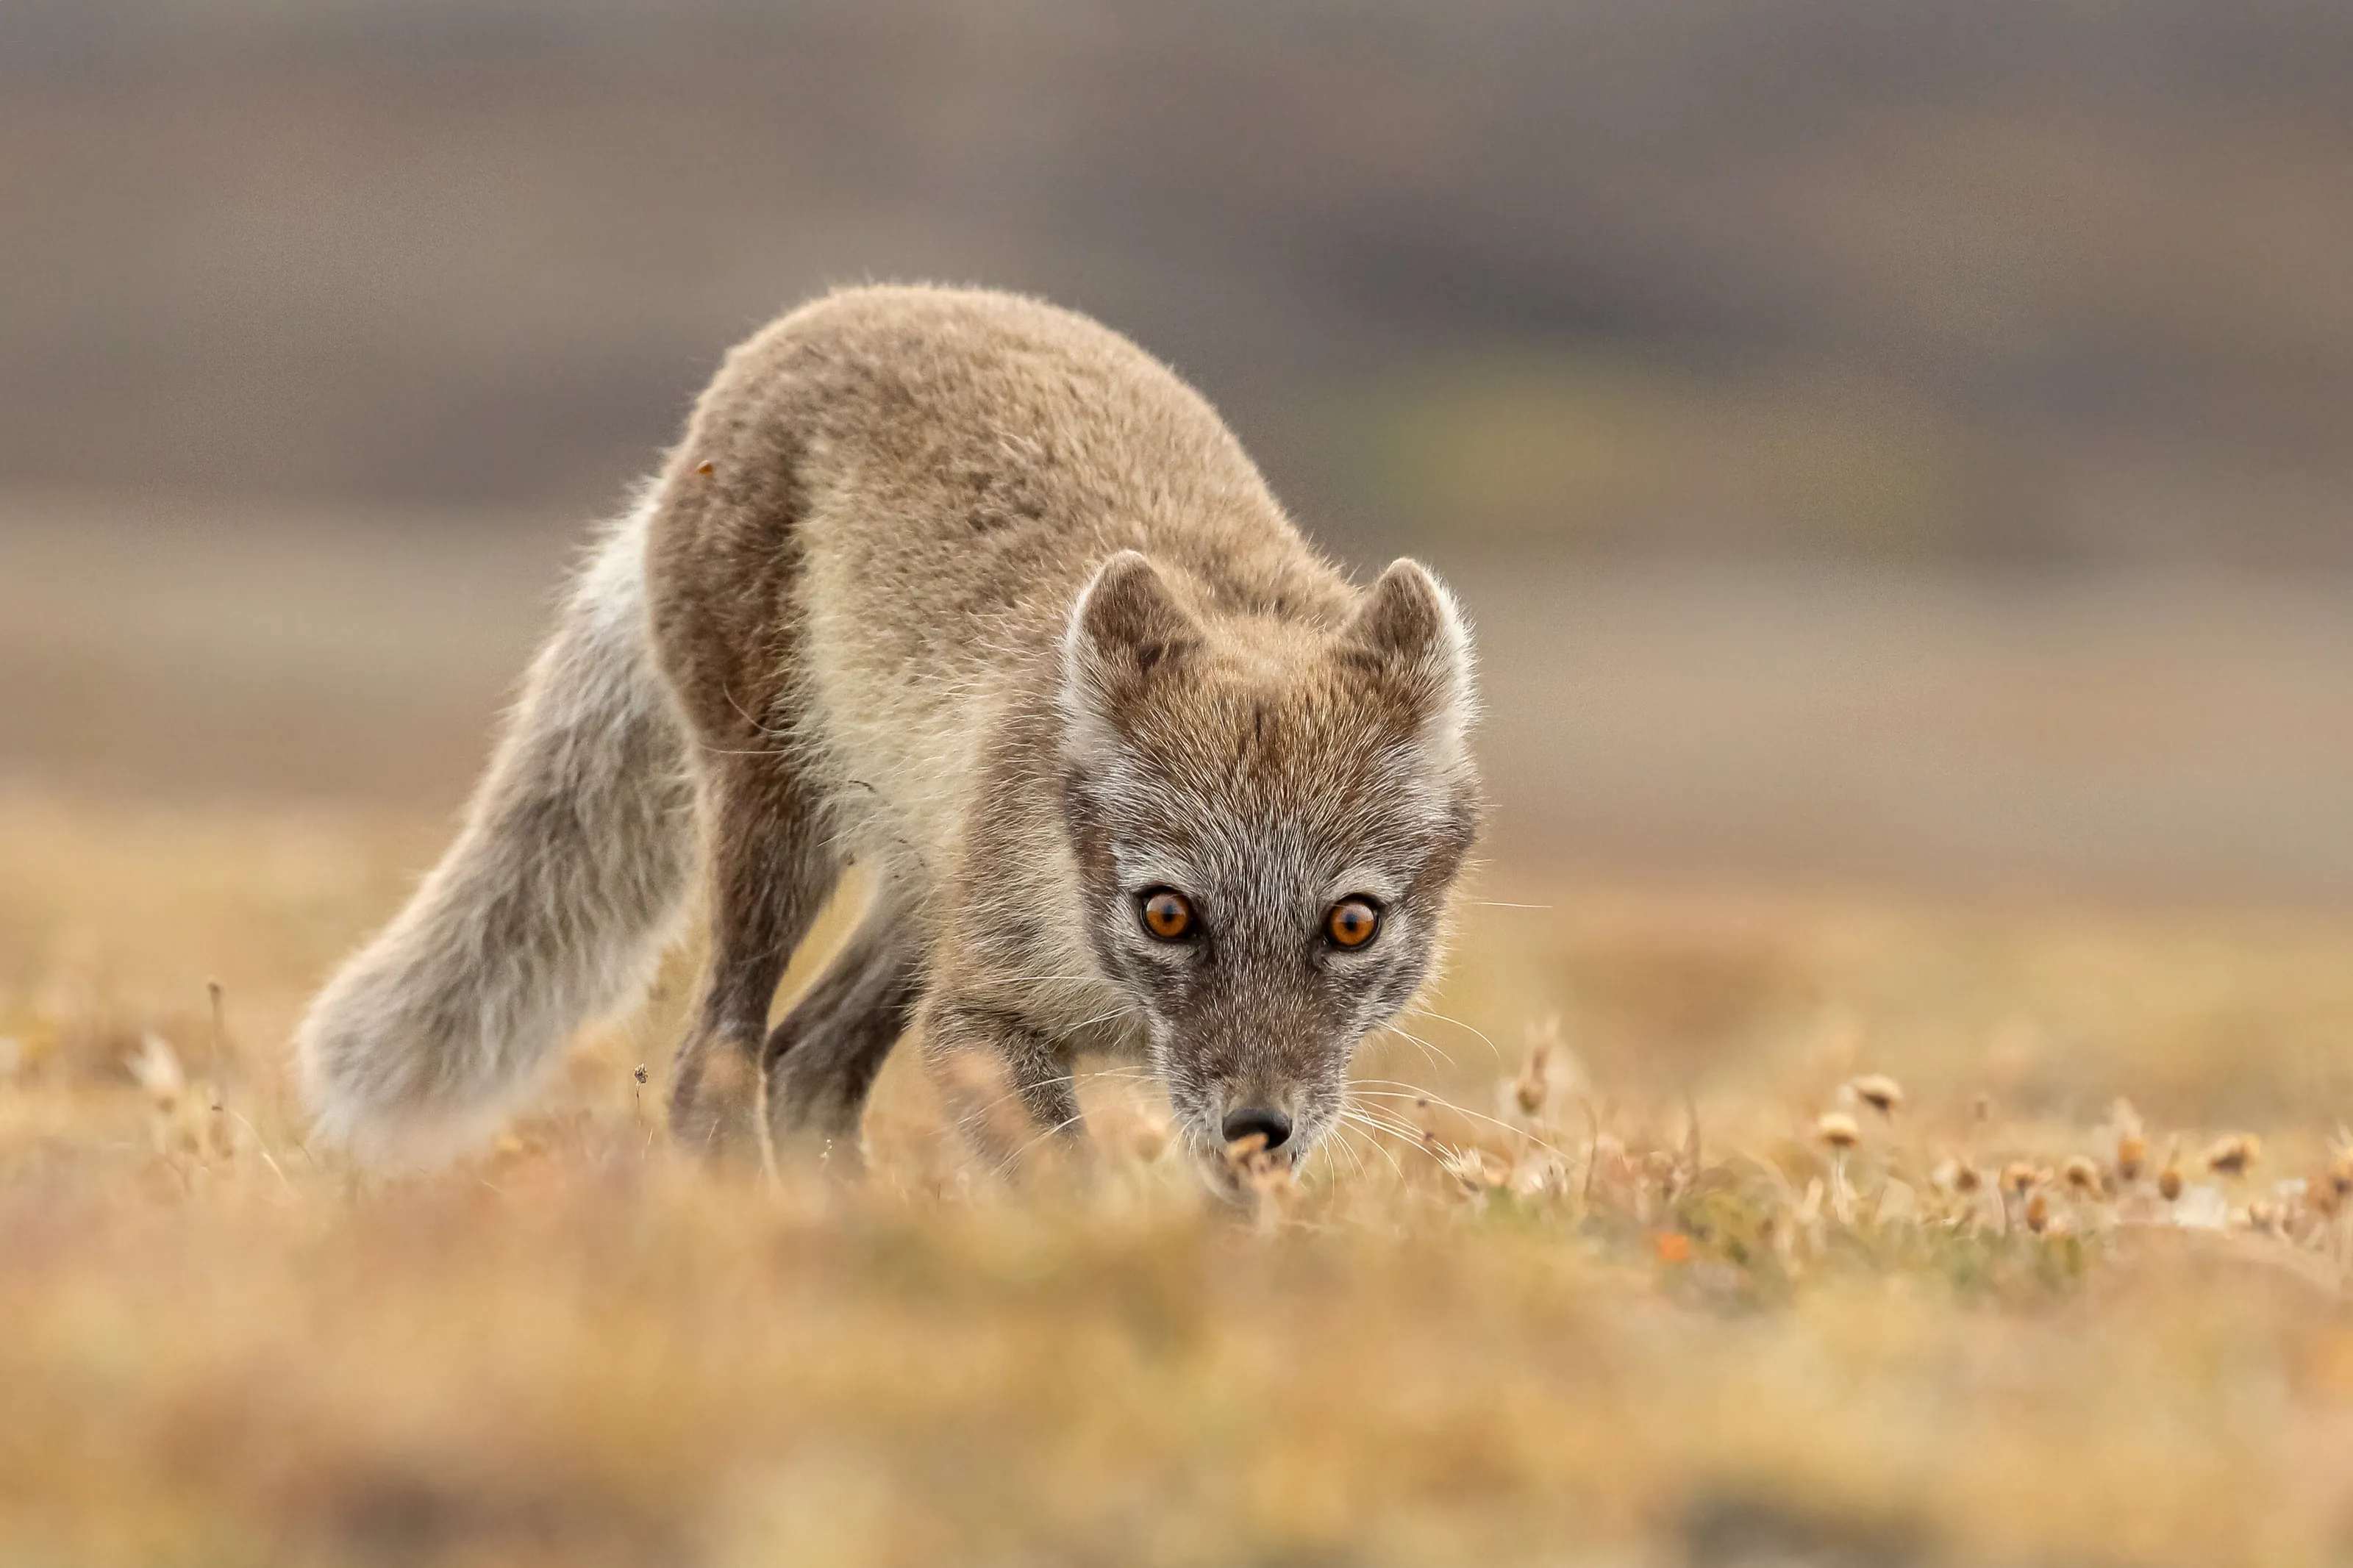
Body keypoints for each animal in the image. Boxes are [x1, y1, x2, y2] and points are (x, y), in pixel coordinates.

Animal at [295, 284, 1482, 1189]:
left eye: (1352, 925)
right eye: (1168, 913)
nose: (1257, 1127)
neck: (1110, 996)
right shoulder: (979, 1014)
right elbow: (1068, 1185)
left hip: (918, 897)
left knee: (804, 1062)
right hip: (778, 837)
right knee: (715, 1061)